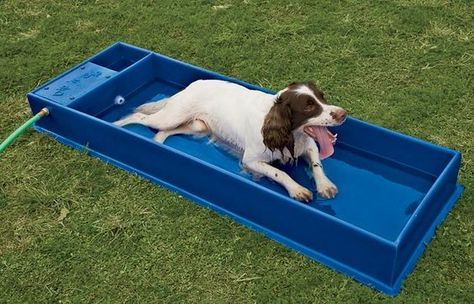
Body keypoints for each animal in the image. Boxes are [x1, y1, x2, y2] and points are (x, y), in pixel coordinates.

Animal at [113, 80, 346, 202]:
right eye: (308, 106)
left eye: (322, 97)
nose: (344, 114)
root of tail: (190, 86)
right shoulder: (250, 160)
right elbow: (279, 173)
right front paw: (297, 189)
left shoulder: (309, 145)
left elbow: (317, 164)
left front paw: (325, 185)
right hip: (170, 116)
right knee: (140, 117)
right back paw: (116, 125)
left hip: (195, 126)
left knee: (163, 132)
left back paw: (158, 145)